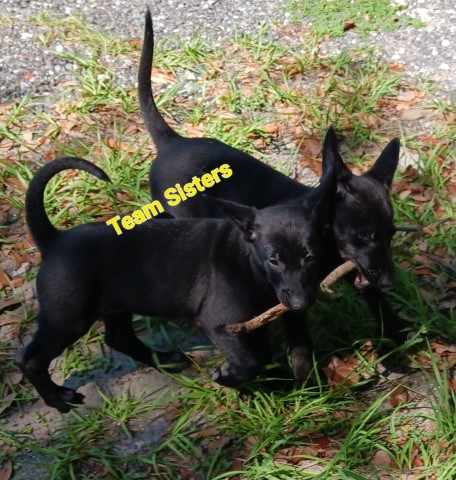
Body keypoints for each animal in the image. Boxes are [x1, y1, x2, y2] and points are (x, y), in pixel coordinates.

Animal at [16, 156, 334, 410]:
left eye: (311, 257)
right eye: (273, 260)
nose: (302, 302)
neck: (250, 262)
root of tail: (55, 240)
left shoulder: (281, 311)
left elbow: (298, 347)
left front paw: (307, 385)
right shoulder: (220, 323)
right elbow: (251, 360)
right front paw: (229, 378)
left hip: (115, 303)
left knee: (119, 338)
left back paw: (163, 359)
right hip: (69, 316)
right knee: (31, 359)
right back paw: (58, 399)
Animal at [138, 8, 406, 376]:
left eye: (390, 235)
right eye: (364, 236)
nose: (391, 280)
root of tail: (172, 142)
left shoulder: (358, 276)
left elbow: (380, 306)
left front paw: (400, 340)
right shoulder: (293, 292)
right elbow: (301, 342)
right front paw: (307, 381)